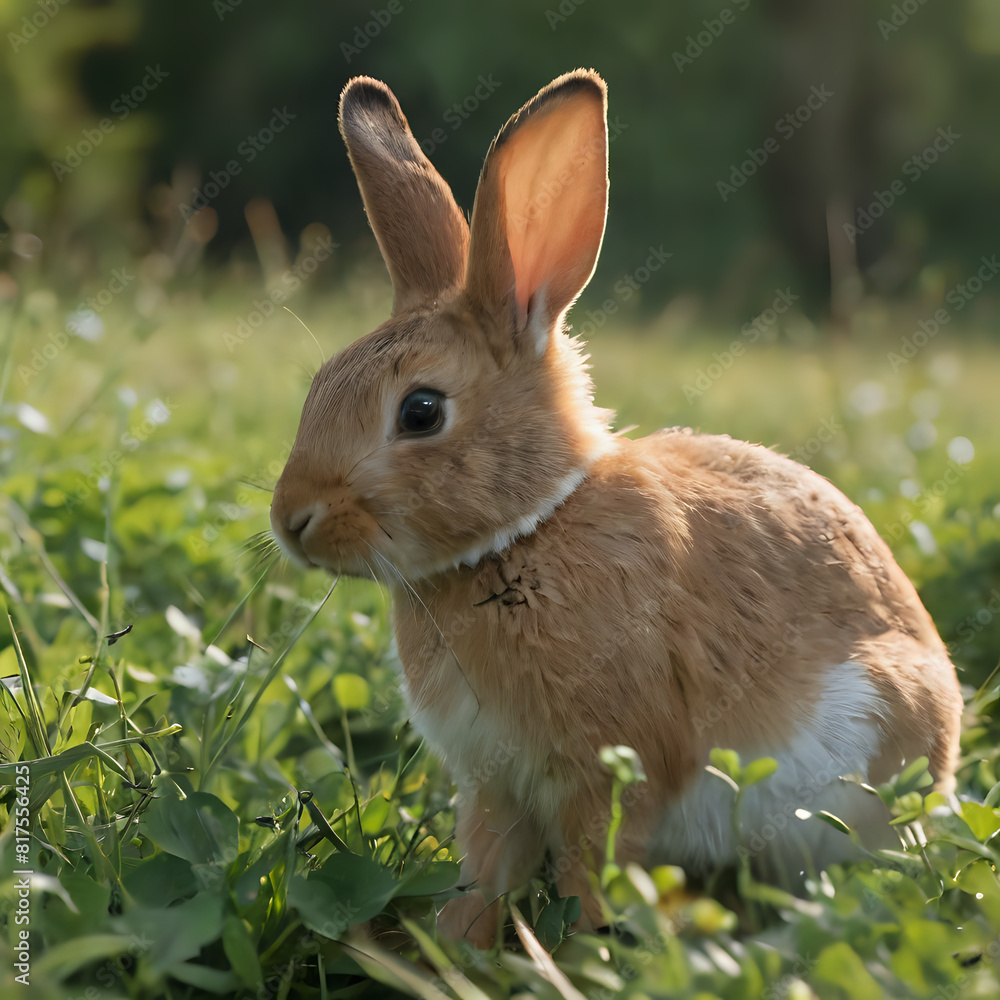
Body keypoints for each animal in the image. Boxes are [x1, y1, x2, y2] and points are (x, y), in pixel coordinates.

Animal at [269, 69, 964, 947]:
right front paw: (457, 944)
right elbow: (485, 871)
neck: (520, 537)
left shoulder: (610, 768)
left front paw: (582, 949)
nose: (290, 520)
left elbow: (588, 869)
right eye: (320, 381)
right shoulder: (493, 783)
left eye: (420, 412)